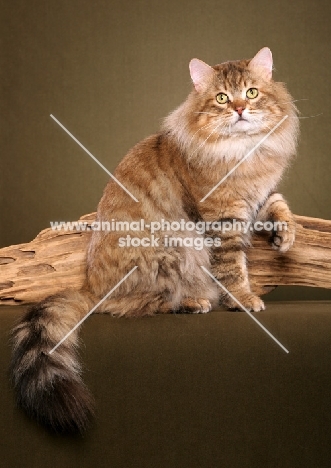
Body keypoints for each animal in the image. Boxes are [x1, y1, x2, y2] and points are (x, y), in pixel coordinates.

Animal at [11, 46, 300, 432]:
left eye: (251, 93)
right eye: (222, 98)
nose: (240, 109)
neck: (245, 152)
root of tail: (91, 287)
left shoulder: (259, 194)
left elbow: (278, 203)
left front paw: (285, 235)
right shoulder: (222, 216)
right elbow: (232, 269)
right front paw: (242, 299)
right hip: (172, 250)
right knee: (133, 305)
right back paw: (192, 303)